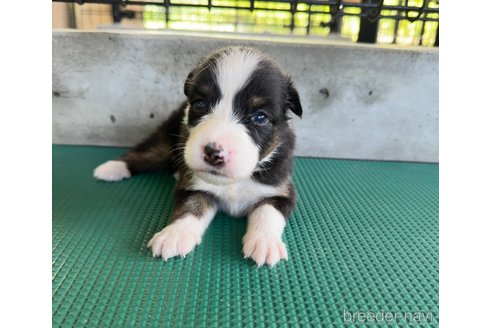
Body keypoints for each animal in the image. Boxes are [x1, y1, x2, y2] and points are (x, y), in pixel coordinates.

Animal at [93, 45, 302, 266]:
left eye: (260, 117)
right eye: (200, 104)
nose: (214, 153)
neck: (233, 183)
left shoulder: (281, 190)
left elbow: (268, 211)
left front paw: (265, 242)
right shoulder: (195, 186)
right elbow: (191, 206)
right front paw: (175, 234)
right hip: (166, 142)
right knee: (144, 154)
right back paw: (111, 168)